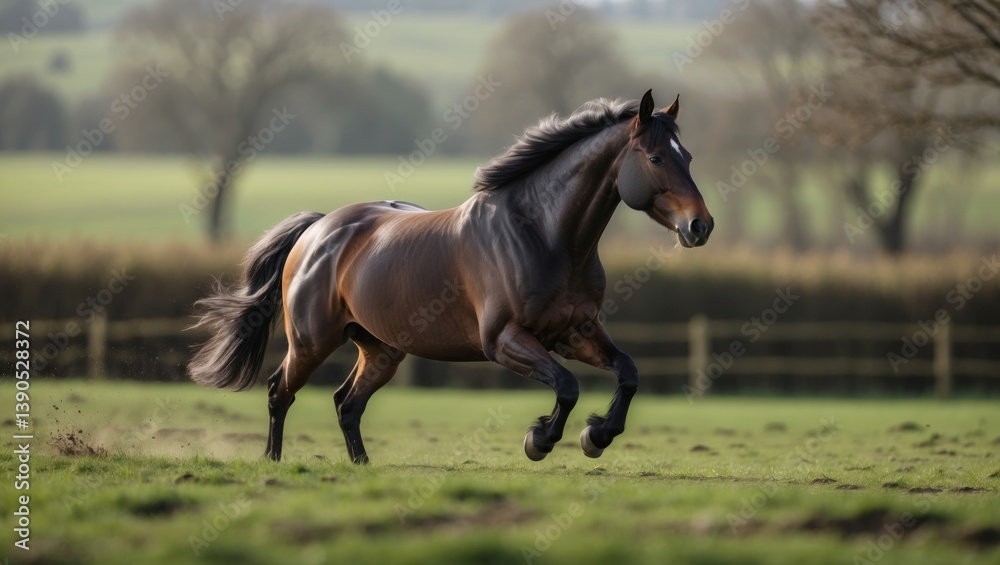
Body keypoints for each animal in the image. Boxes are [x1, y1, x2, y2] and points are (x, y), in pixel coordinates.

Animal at [188, 89, 713, 464]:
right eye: (656, 158)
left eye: (688, 156)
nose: (700, 226)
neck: (543, 235)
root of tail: (318, 229)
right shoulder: (503, 340)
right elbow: (566, 386)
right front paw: (540, 440)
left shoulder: (575, 332)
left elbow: (629, 372)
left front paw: (597, 435)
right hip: (311, 341)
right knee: (280, 392)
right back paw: (273, 463)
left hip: (381, 349)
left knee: (346, 404)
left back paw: (362, 468)